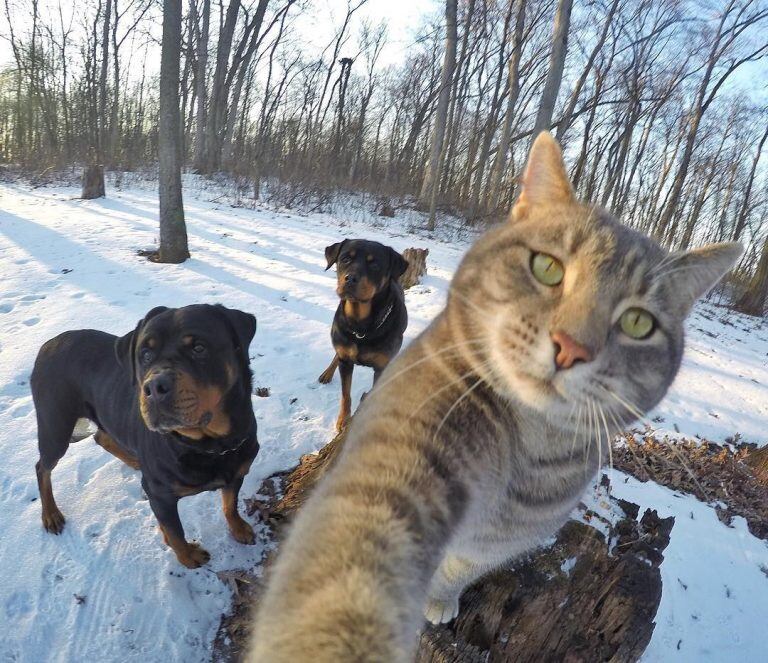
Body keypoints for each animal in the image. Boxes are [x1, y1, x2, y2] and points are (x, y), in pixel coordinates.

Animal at [249, 132, 740, 660]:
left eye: (637, 322)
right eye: (547, 267)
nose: (571, 347)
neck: (523, 449)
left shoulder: (504, 537)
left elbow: (462, 566)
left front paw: (441, 598)